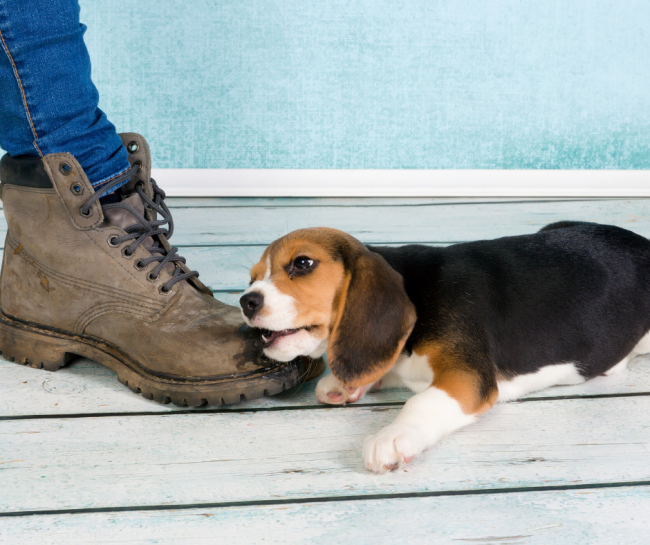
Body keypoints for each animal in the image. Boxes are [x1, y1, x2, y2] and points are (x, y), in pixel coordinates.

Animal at [239, 222, 650, 473]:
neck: (414, 290)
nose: (246, 301)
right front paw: (346, 383)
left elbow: (421, 402)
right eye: (252, 277)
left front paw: (391, 437)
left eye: (302, 263)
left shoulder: (468, 376)